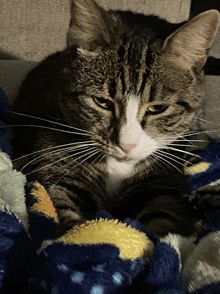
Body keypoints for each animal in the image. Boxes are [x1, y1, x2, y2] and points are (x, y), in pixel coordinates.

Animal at [11, 0, 220, 237]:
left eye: (158, 108)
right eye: (102, 102)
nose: (126, 146)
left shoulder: (163, 181)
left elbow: (164, 214)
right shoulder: (58, 167)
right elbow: (63, 206)